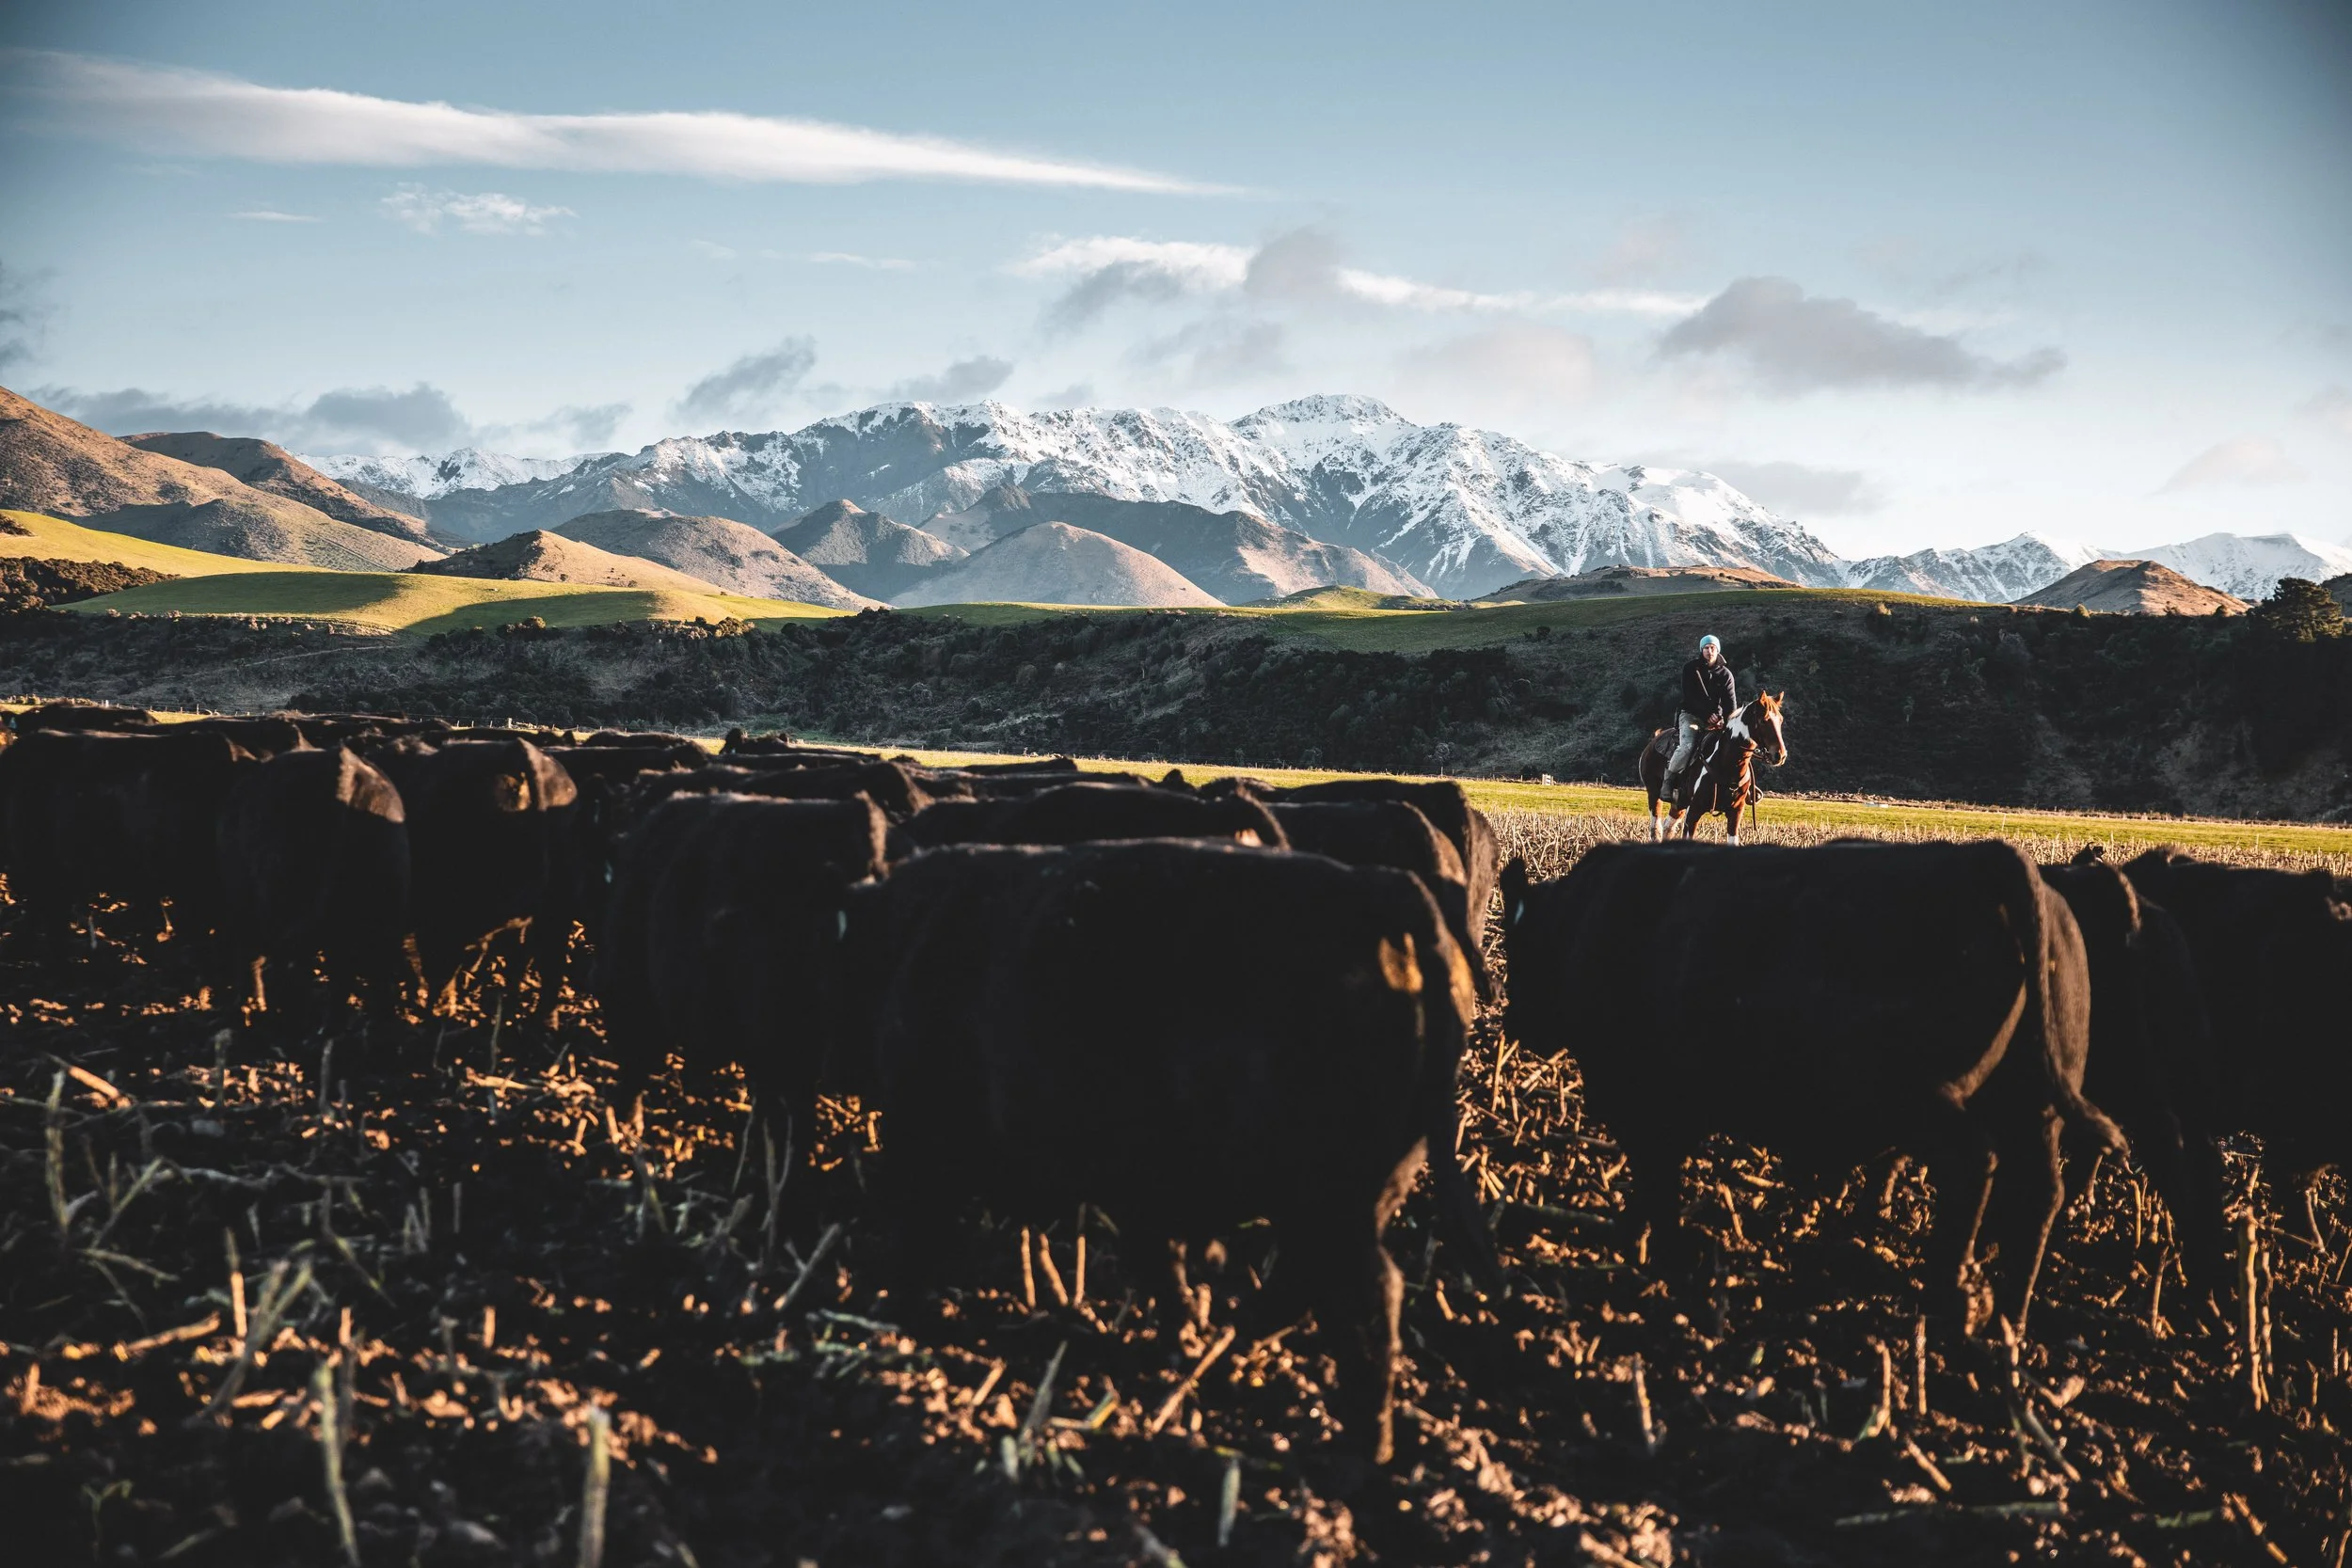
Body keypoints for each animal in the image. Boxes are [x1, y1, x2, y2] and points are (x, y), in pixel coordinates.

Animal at [845, 839, 1499, 1464]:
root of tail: (1381, 886)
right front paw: (1182, 1332)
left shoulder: (926, 1136)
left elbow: (917, 1229)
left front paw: (890, 1317)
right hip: (1360, 1187)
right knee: (1312, 1278)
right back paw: (1240, 1347)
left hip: (1332, 1195)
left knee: (1367, 1291)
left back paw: (1366, 1444)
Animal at [1501, 839, 2122, 1337]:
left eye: (1514, 947)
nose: (1512, 1023)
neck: (1582, 919)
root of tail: (1984, 857)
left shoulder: (1641, 1096)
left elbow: (1655, 1183)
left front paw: (1649, 1250)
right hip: (2036, 1106)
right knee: (2041, 1194)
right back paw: (2009, 1320)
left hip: (1930, 1101)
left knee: (1975, 1167)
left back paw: (1952, 1299)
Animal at [1637, 692, 1787, 844]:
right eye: (1763, 720)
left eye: (1780, 720)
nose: (1780, 755)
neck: (1727, 766)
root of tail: (1654, 740)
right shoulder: (1693, 812)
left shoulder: (1735, 813)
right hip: (1654, 794)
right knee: (1656, 828)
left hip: (1679, 804)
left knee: (1668, 827)